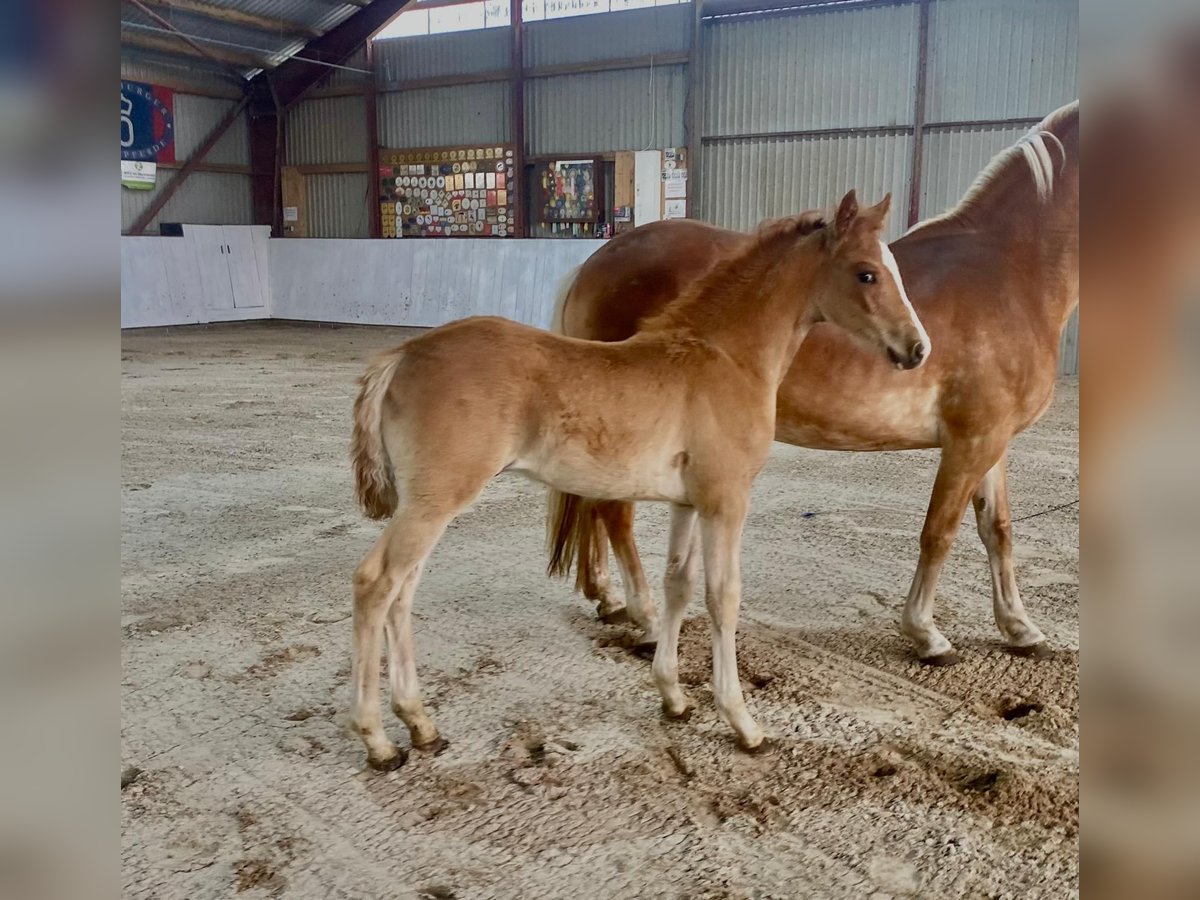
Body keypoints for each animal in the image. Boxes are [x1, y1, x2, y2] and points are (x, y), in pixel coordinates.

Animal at [350, 192, 926, 768]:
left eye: (895, 270)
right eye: (867, 273)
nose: (918, 350)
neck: (726, 356)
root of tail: (401, 356)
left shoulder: (687, 503)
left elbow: (678, 584)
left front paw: (673, 696)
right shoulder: (726, 500)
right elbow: (723, 597)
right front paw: (743, 722)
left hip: (428, 503)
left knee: (402, 592)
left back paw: (421, 724)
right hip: (435, 501)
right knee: (376, 584)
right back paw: (379, 740)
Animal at [544, 103, 1080, 672]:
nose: (917, 350)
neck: (1009, 272)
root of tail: (596, 260)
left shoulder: (990, 440)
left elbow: (997, 531)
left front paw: (1020, 628)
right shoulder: (971, 441)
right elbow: (940, 532)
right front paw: (926, 634)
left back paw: (609, 598)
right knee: (613, 512)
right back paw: (645, 620)